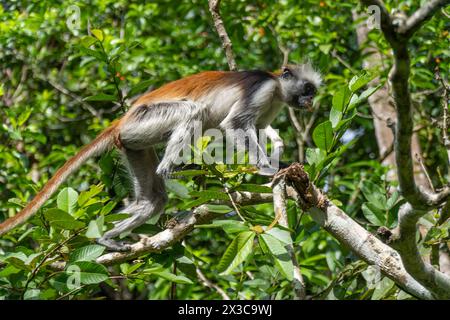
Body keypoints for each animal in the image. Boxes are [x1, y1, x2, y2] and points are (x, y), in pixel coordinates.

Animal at [0, 63, 324, 250]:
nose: (310, 100)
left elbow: (252, 130)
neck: (278, 88)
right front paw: (268, 171)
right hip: (144, 120)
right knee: (191, 111)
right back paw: (171, 170)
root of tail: (122, 120)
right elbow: (235, 124)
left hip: (134, 143)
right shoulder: (263, 89)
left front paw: (280, 164)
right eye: (307, 88)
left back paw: (107, 236)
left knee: (152, 199)